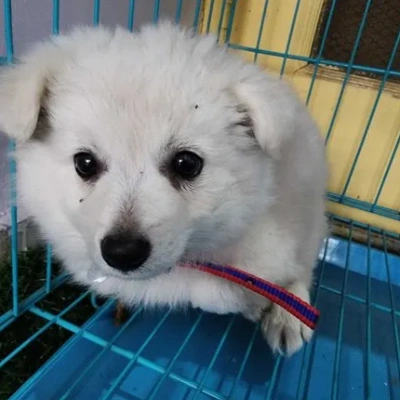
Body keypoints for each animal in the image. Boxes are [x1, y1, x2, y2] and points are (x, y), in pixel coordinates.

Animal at [0, 23, 326, 356]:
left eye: (186, 163)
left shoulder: (275, 235)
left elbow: (250, 280)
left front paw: (257, 302)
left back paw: (288, 318)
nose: (122, 254)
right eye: (85, 163)